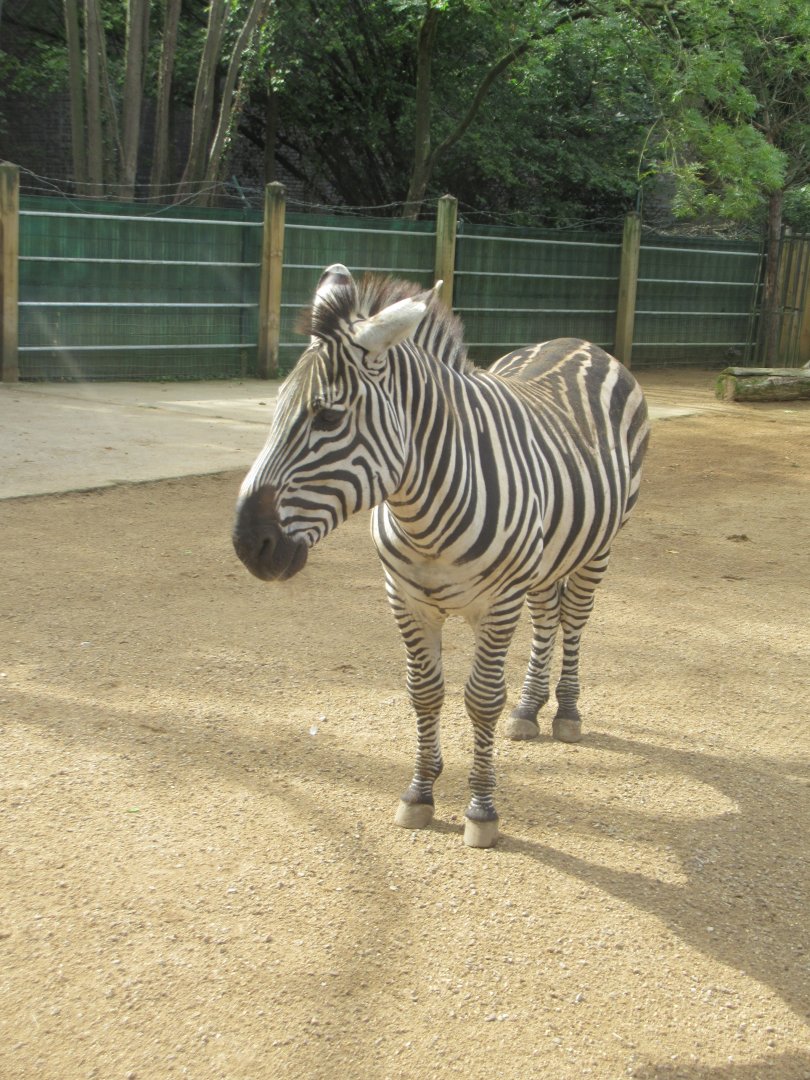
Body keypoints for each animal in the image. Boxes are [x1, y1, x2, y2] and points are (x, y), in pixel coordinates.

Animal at [232, 264, 649, 847]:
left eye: (328, 417)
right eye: (274, 411)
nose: (248, 545)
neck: (424, 516)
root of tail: (579, 341)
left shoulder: (497, 603)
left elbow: (482, 699)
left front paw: (482, 809)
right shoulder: (405, 599)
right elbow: (424, 693)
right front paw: (420, 793)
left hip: (598, 547)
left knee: (573, 619)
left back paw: (566, 710)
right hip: (548, 555)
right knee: (547, 616)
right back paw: (530, 708)